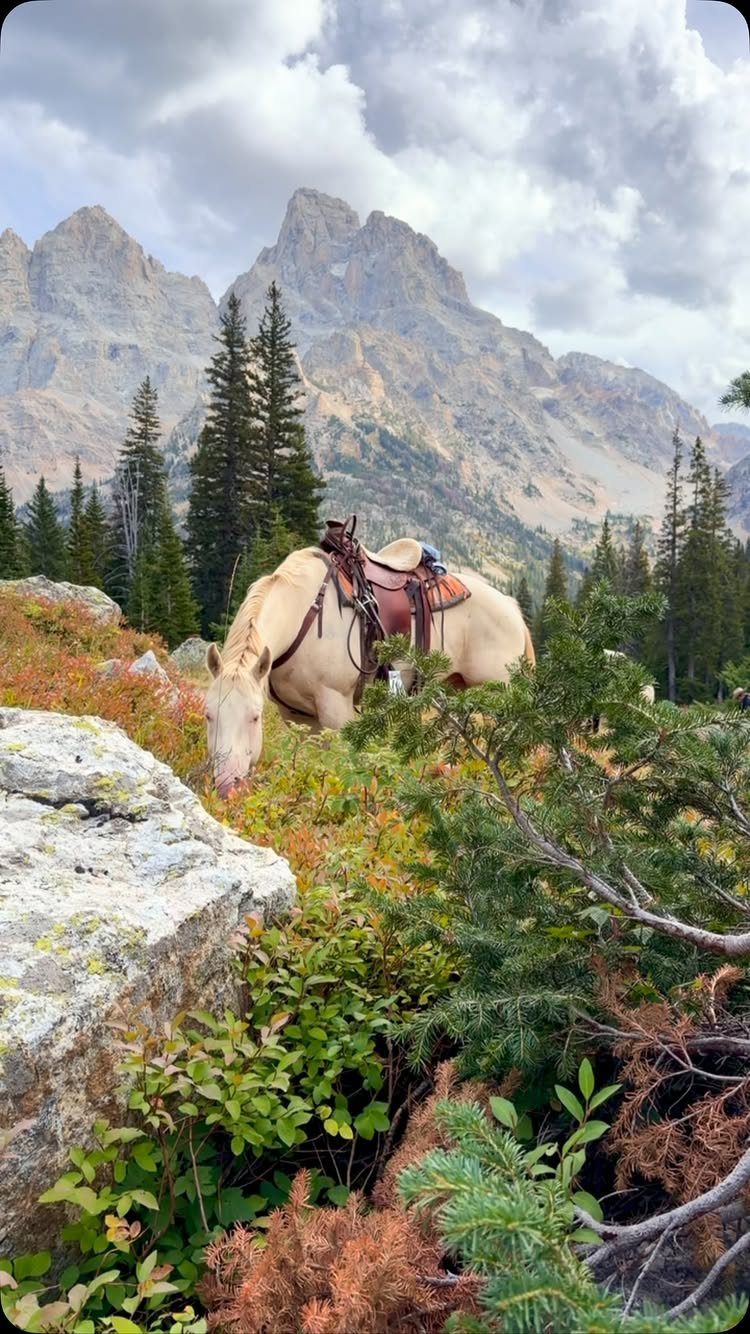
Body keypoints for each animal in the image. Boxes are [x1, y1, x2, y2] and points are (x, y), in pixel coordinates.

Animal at [203, 545, 535, 796]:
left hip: (498, 696)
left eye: (254, 717)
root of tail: (511, 606)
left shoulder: (336, 708)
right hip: (456, 693)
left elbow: (340, 764)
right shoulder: (295, 715)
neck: (305, 612)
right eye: (208, 715)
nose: (227, 787)